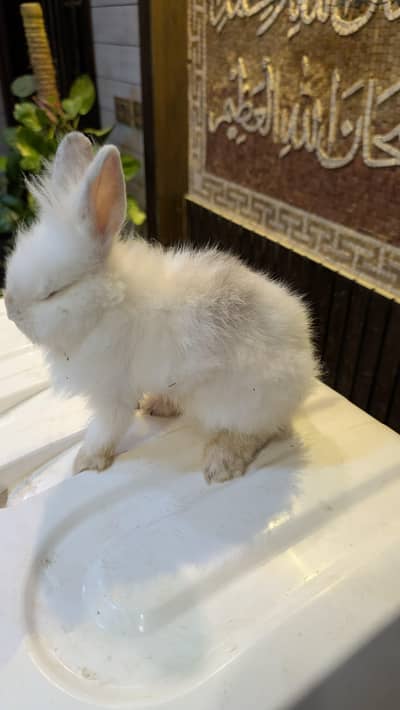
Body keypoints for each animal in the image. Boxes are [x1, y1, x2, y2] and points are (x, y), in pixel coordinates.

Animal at [5, 132, 317, 483]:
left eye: (53, 292)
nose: (11, 312)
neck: (107, 305)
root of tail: (305, 364)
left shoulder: (113, 391)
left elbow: (106, 427)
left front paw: (85, 461)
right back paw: (161, 405)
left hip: (236, 401)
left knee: (256, 431)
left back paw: (221, 462)